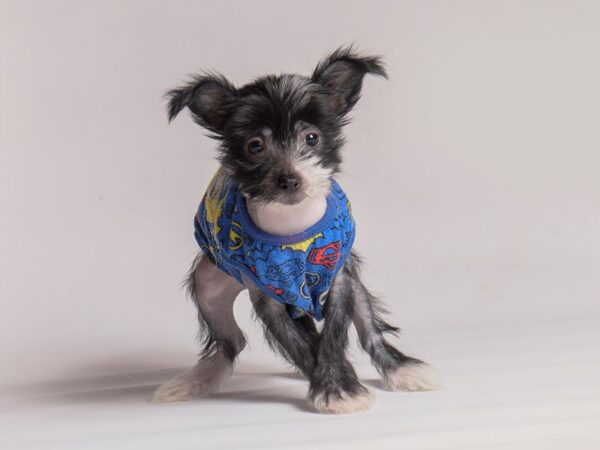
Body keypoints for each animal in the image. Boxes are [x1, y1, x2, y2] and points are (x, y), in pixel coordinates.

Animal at [152, 46, 442, 414]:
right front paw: (336, 386)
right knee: (230, 343)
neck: (295, 231)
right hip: (209, 284)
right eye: (255, 146)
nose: (289, 179)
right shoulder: (267, 295)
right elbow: (301, 346)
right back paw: (195, 381)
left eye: (312, 138)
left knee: (370, 332)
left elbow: (332, 334)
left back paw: (400, 368)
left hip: (355, 283)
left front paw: (337, 384)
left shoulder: (339, 278)